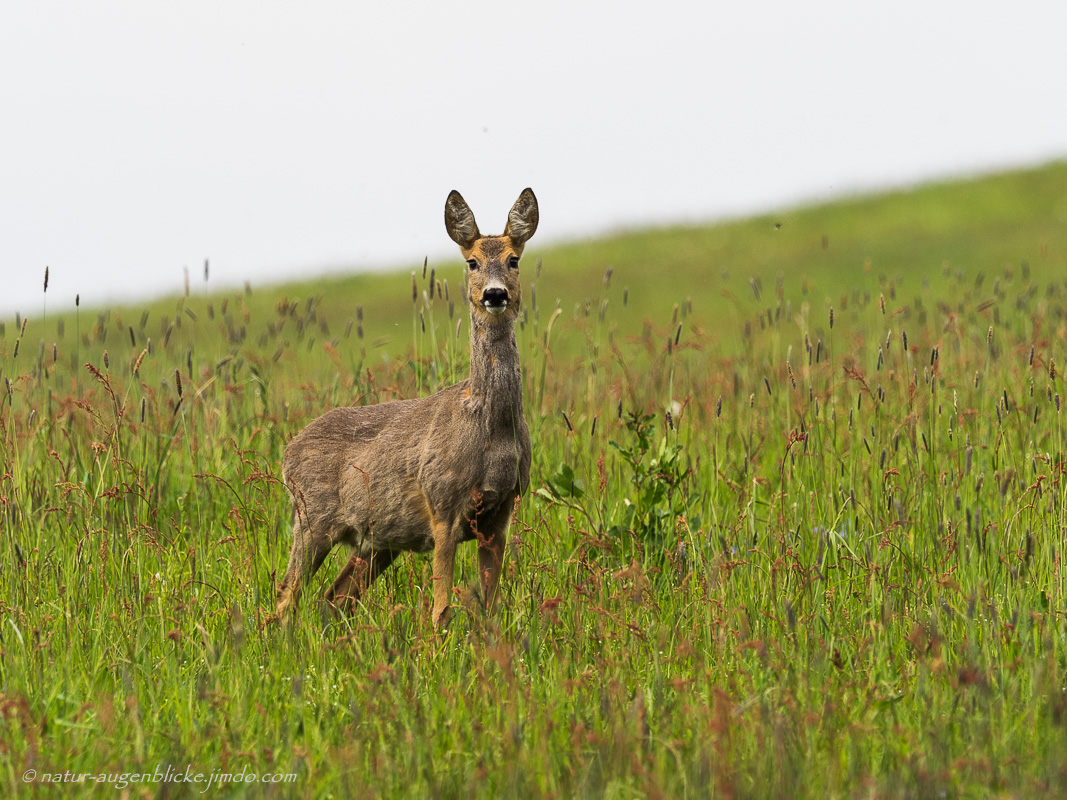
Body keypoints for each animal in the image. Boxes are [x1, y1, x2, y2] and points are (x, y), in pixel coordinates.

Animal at [275, 190, 537, 631]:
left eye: (514, 258)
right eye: (472, 262)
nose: (495, 294)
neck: (490, 428)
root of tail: (287, 454)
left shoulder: (500, 513)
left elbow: (489, 607)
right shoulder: (442, 503)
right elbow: (441, 610)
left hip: (377, 540)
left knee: (332, 597)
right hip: (311, 520)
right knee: (284, 601)